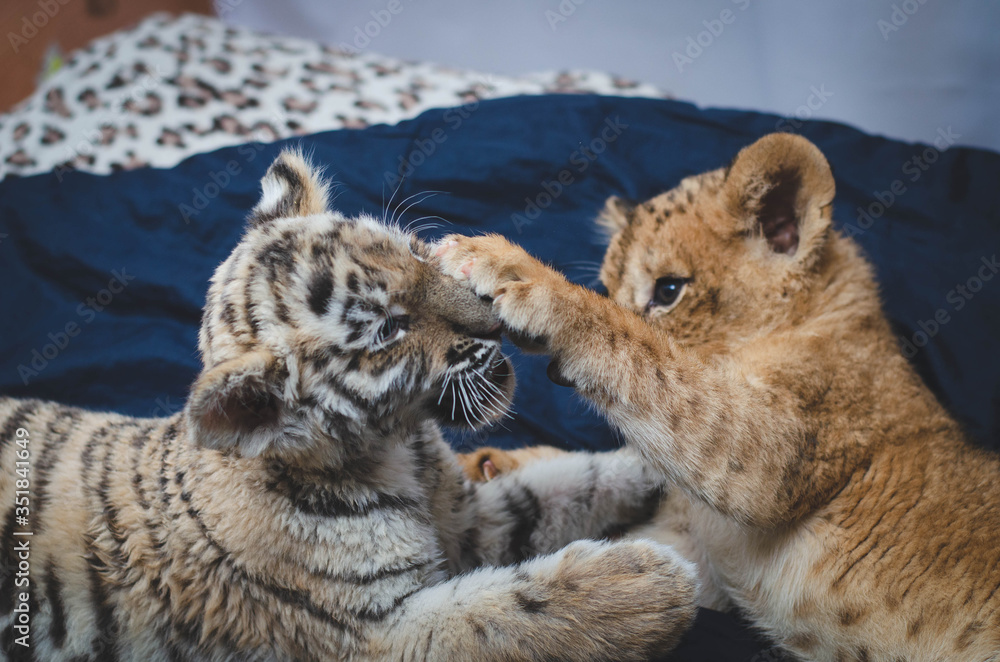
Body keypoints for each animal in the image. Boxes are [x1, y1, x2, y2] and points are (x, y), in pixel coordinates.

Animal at [0, 150, 699, 662]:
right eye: (389, 329)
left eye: (416, 252)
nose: (494, 322)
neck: (394, 448)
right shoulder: (374, 631)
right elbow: (506, 616)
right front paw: (649, 586)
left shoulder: (468, 516)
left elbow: (565, 485)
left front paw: (654, 468)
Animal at [437, 133, 1000, 661]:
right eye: (611, 286)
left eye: (668, 291)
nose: (555, 373)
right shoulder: (694, 557)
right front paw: (491, 469)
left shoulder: (778, 451)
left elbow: (648, 357)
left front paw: (508, 268)